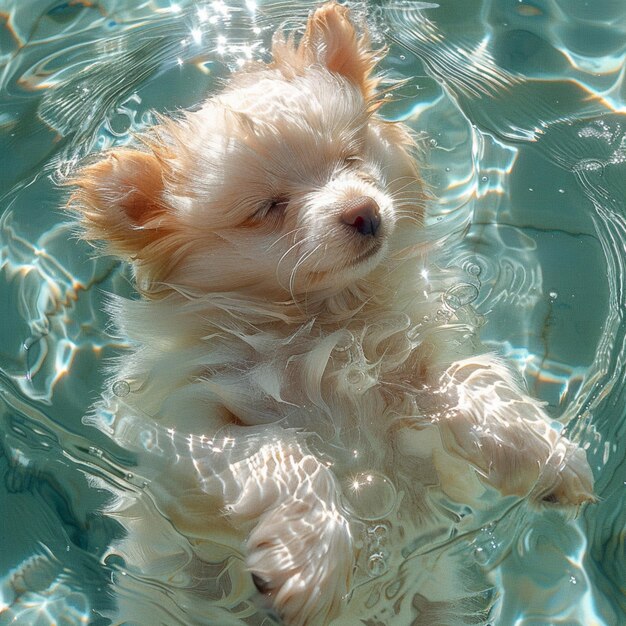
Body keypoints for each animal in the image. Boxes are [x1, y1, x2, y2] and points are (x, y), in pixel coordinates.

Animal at [70, 2, 592, 620]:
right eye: (269, 207)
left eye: (351, 159)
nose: (364, 211)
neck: (329, 318)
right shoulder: (183, 430)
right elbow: (287, 451)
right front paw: (310, 561)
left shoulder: (413, 372)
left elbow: (469, 377)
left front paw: (542, 454)